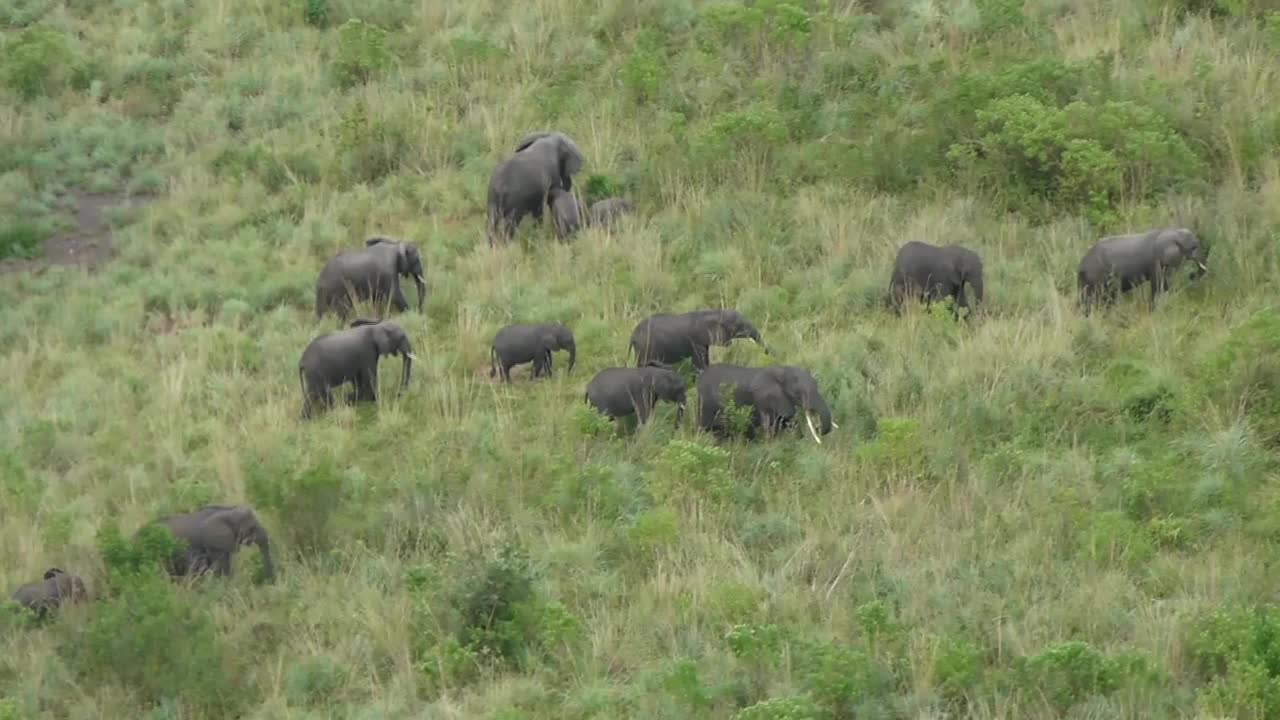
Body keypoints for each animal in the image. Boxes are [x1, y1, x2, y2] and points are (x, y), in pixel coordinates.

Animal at [696, 363, 834, 443]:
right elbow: (772, 425)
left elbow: (787, 421)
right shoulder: (764, 399)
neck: (783, 370)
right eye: (797, 394)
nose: (818, 428)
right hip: (706, 403)